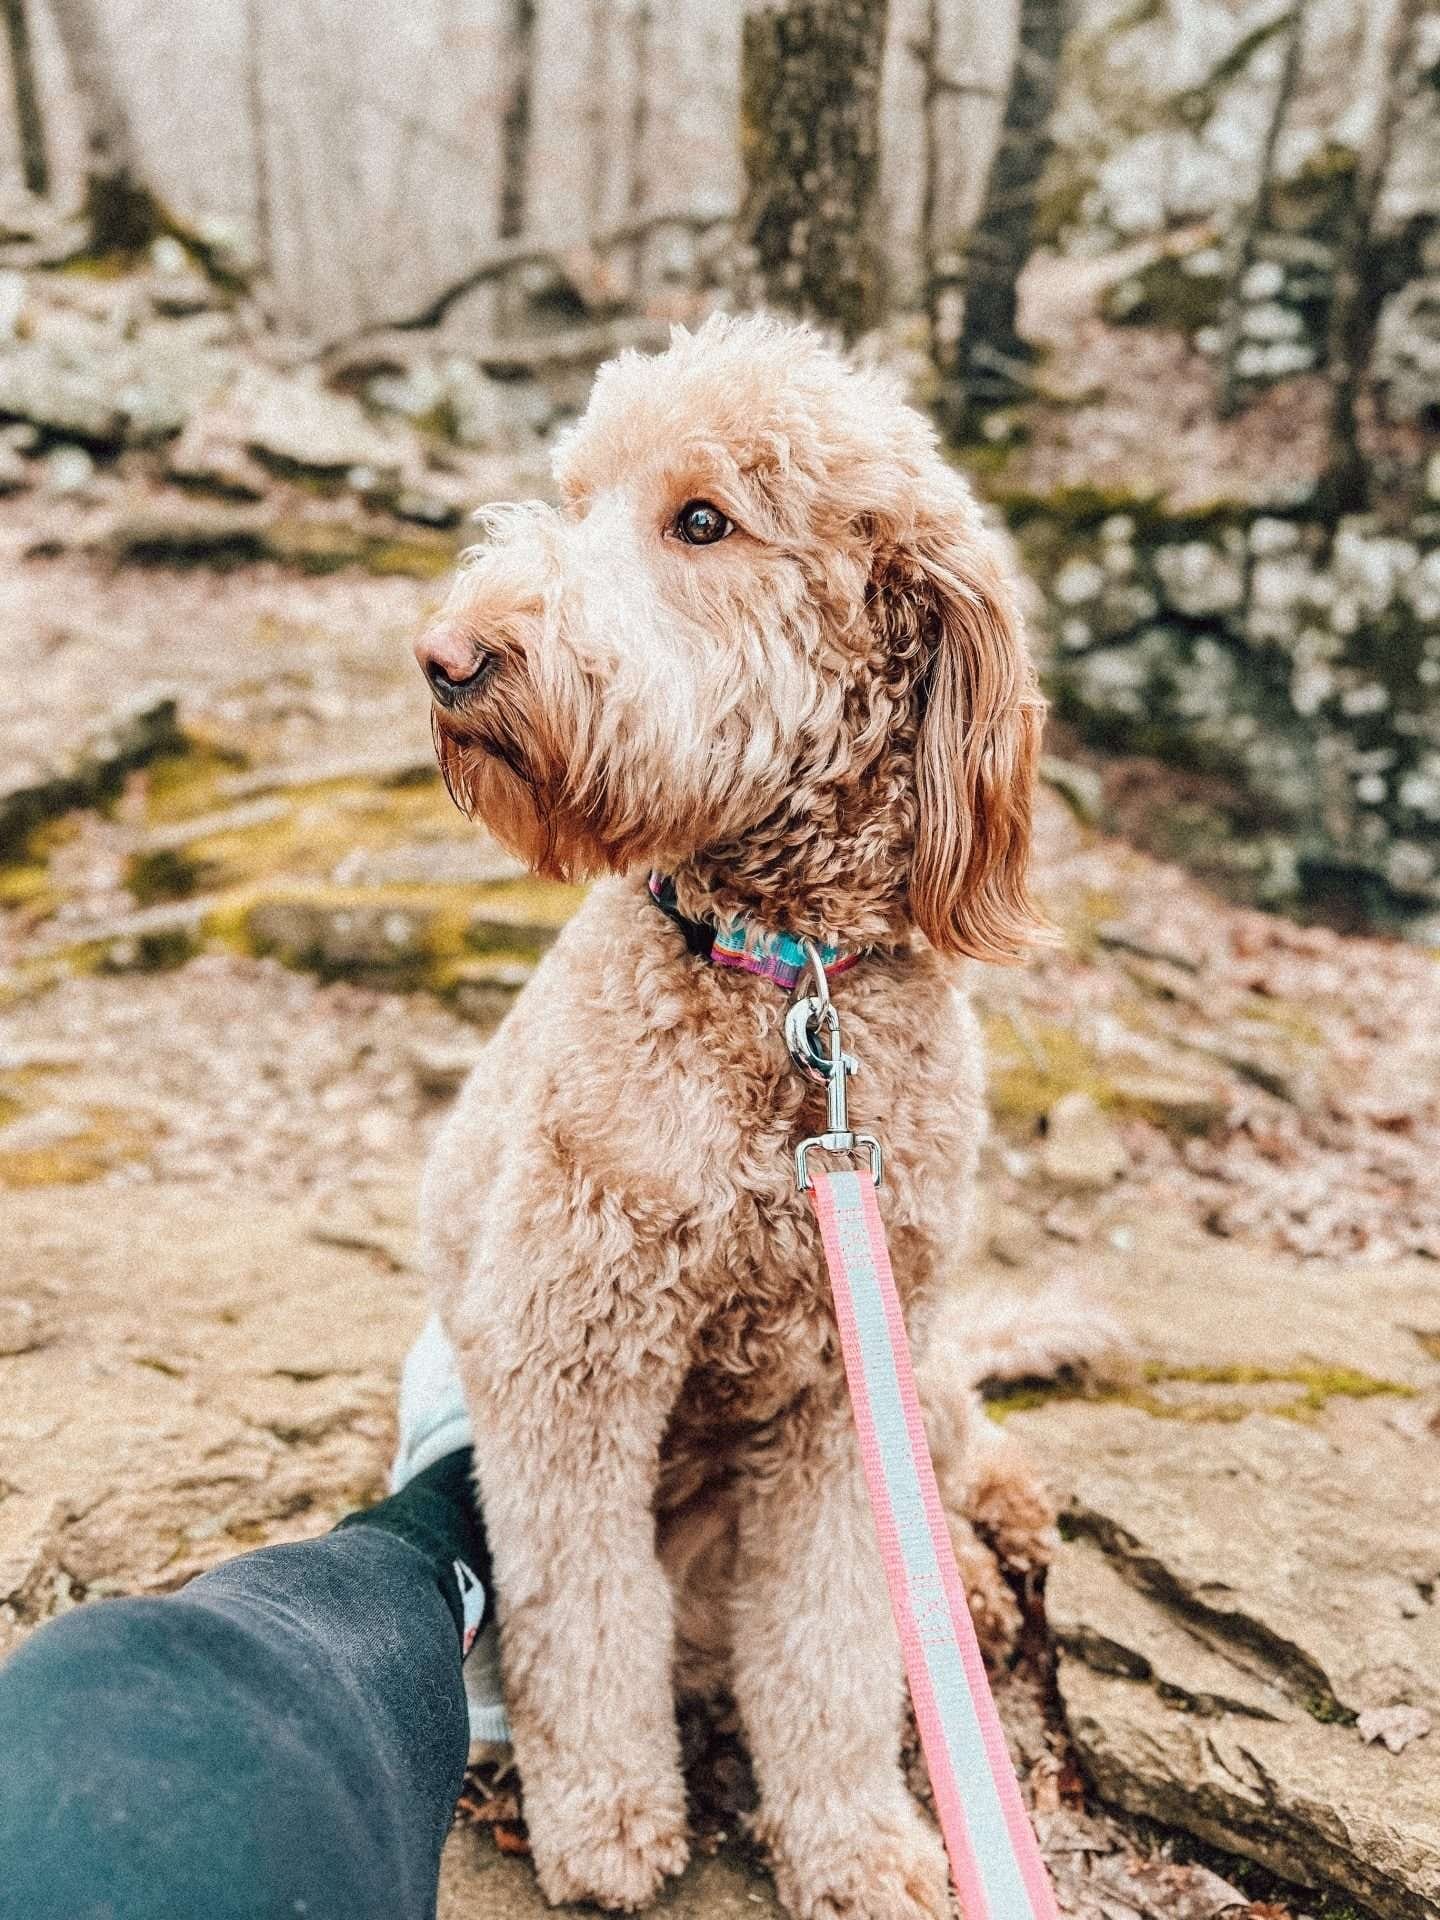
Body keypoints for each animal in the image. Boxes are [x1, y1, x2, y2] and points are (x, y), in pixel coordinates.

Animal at [416, 318, 1059, 1920]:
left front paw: (855, 1839)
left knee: (965, 1441)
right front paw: (606, 1819)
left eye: (702, 522)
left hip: (914, 1355)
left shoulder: (837, 1403)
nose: (448, 657)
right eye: (575, 496)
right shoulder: (570, 1358)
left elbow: (834, 1640)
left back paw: (999, 1536)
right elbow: (587, 1614)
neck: (780, 978)